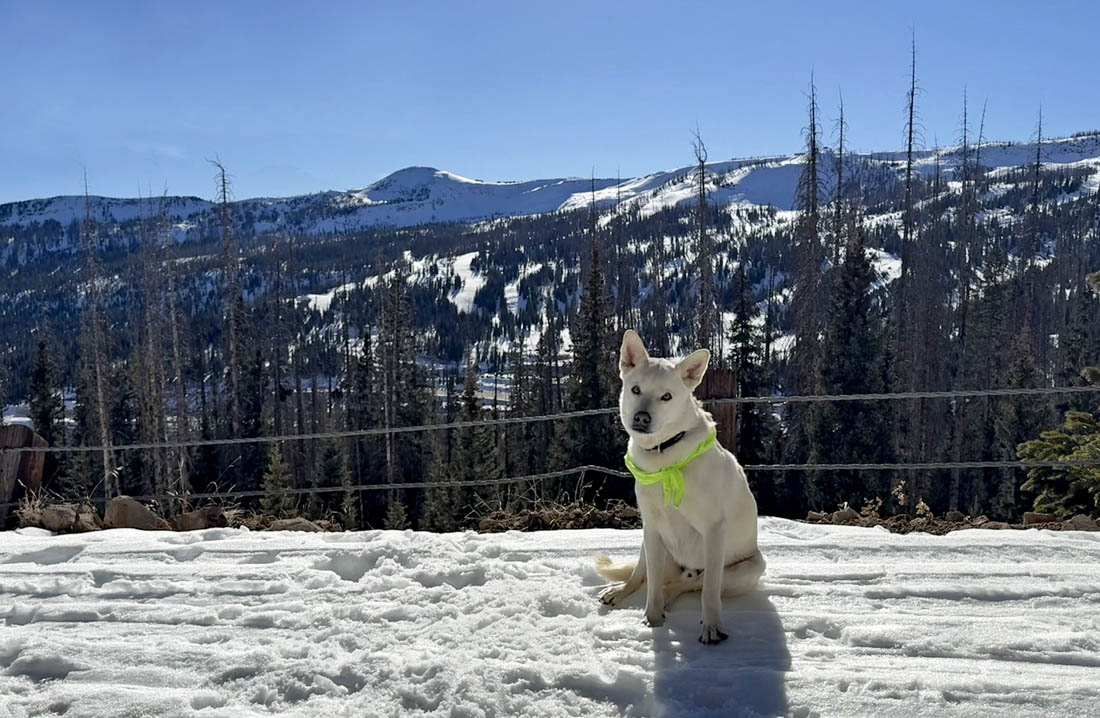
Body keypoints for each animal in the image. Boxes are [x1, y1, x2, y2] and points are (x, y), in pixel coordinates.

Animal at [595, 330, 765, 644]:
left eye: (666, 396)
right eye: (636, 389)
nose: (641, 418)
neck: (665, 458)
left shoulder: (714, 529)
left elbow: (709, 590)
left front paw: (711, 626)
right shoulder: (651, 526)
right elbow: (648, 584)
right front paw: (651, 620)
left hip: (749, 568)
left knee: (692, 583)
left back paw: (671, 593)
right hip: (649, 542)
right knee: (643, 575)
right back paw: (623, 591)